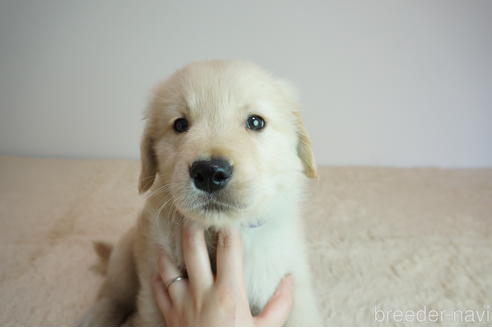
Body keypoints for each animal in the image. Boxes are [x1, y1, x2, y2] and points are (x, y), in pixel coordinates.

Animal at [81, 60, 322, 326]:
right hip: (126, 251)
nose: (209, 173)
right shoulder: (152, 291)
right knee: (112, 292)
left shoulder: (291, 285)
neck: (214, 233)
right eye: (180, 125)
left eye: (256, 122)